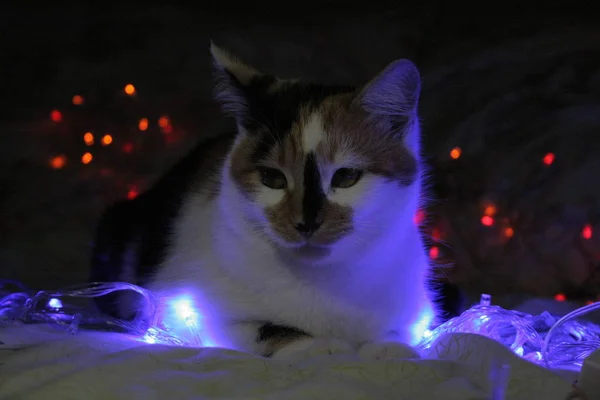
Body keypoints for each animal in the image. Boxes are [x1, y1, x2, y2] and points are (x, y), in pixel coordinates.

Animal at [92, 43, 440, 360]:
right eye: (272, 178)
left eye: (346, 176)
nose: (306, 223)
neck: (322, 278)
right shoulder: (185, 307)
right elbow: (264, 329)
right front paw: (320, 347)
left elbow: (402, 330)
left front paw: (390, 348)